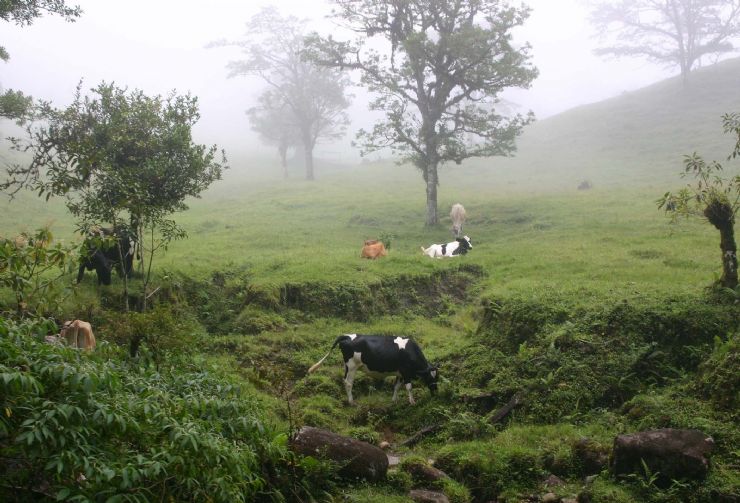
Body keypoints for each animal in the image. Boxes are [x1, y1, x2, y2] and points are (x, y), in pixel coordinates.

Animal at [308, 334, 440, 406]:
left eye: (437, 376)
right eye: (429, 377)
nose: (435, 390)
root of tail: (347, 336)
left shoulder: (400, 373)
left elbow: (396, 386)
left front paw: (394, 401)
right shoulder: (406, 371)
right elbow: (409, 387)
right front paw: (412, 402)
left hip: (347, 366)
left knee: (345, 380)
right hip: (352, 366)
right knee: (348, 383)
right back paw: (351, 401)